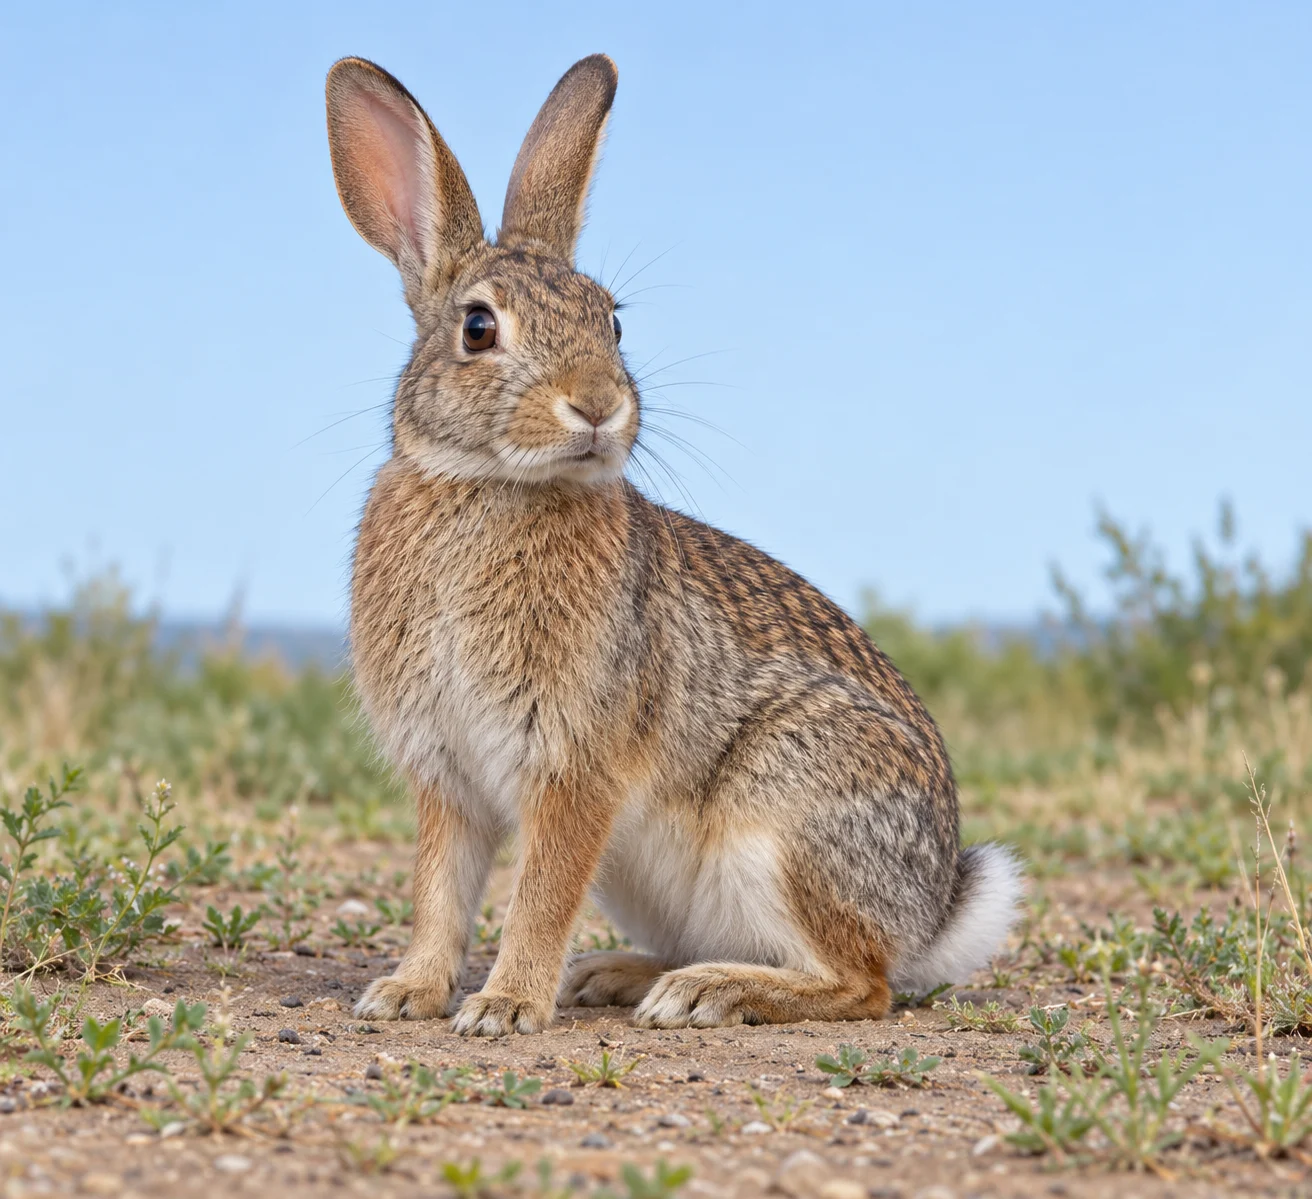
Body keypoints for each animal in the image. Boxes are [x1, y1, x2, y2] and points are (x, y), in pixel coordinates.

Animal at [325, 52, 1023, 1036]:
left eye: (613, 321)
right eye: (478, 327)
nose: (596, 404)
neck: (491, 485)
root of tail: (933, 909)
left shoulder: (576, 761)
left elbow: (539, 893)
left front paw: (504, 1005)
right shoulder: (447, 774)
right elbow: (440, 892)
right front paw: (407, 991)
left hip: (781, 818)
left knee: (863, 983)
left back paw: (707, 991)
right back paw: (617, 975)